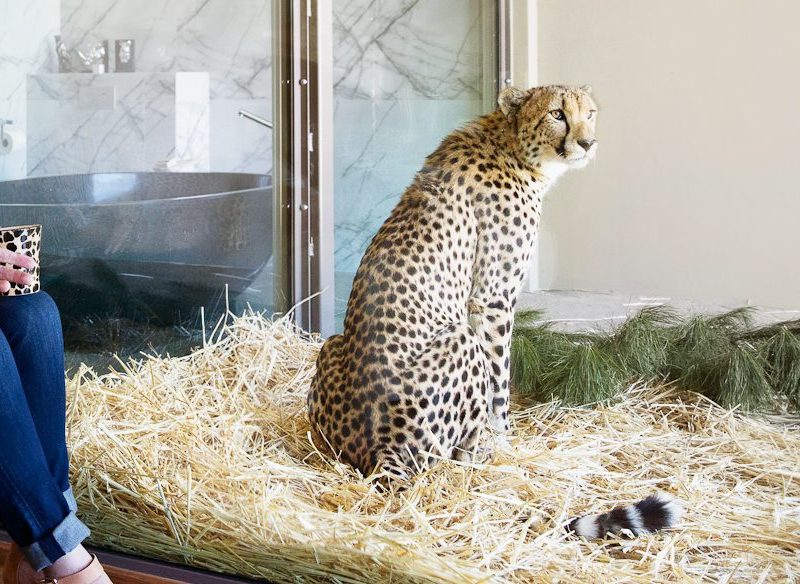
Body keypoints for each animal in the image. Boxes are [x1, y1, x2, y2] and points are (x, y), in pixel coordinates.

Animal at [310, 86, 684, 540]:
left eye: (590, 113)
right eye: (557, 114)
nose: (587, 142)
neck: (511, 143)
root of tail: (378, 449)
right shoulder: (492, 298)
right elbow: (500, 379)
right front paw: (503, 438)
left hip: (332, 345)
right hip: (459, 341)